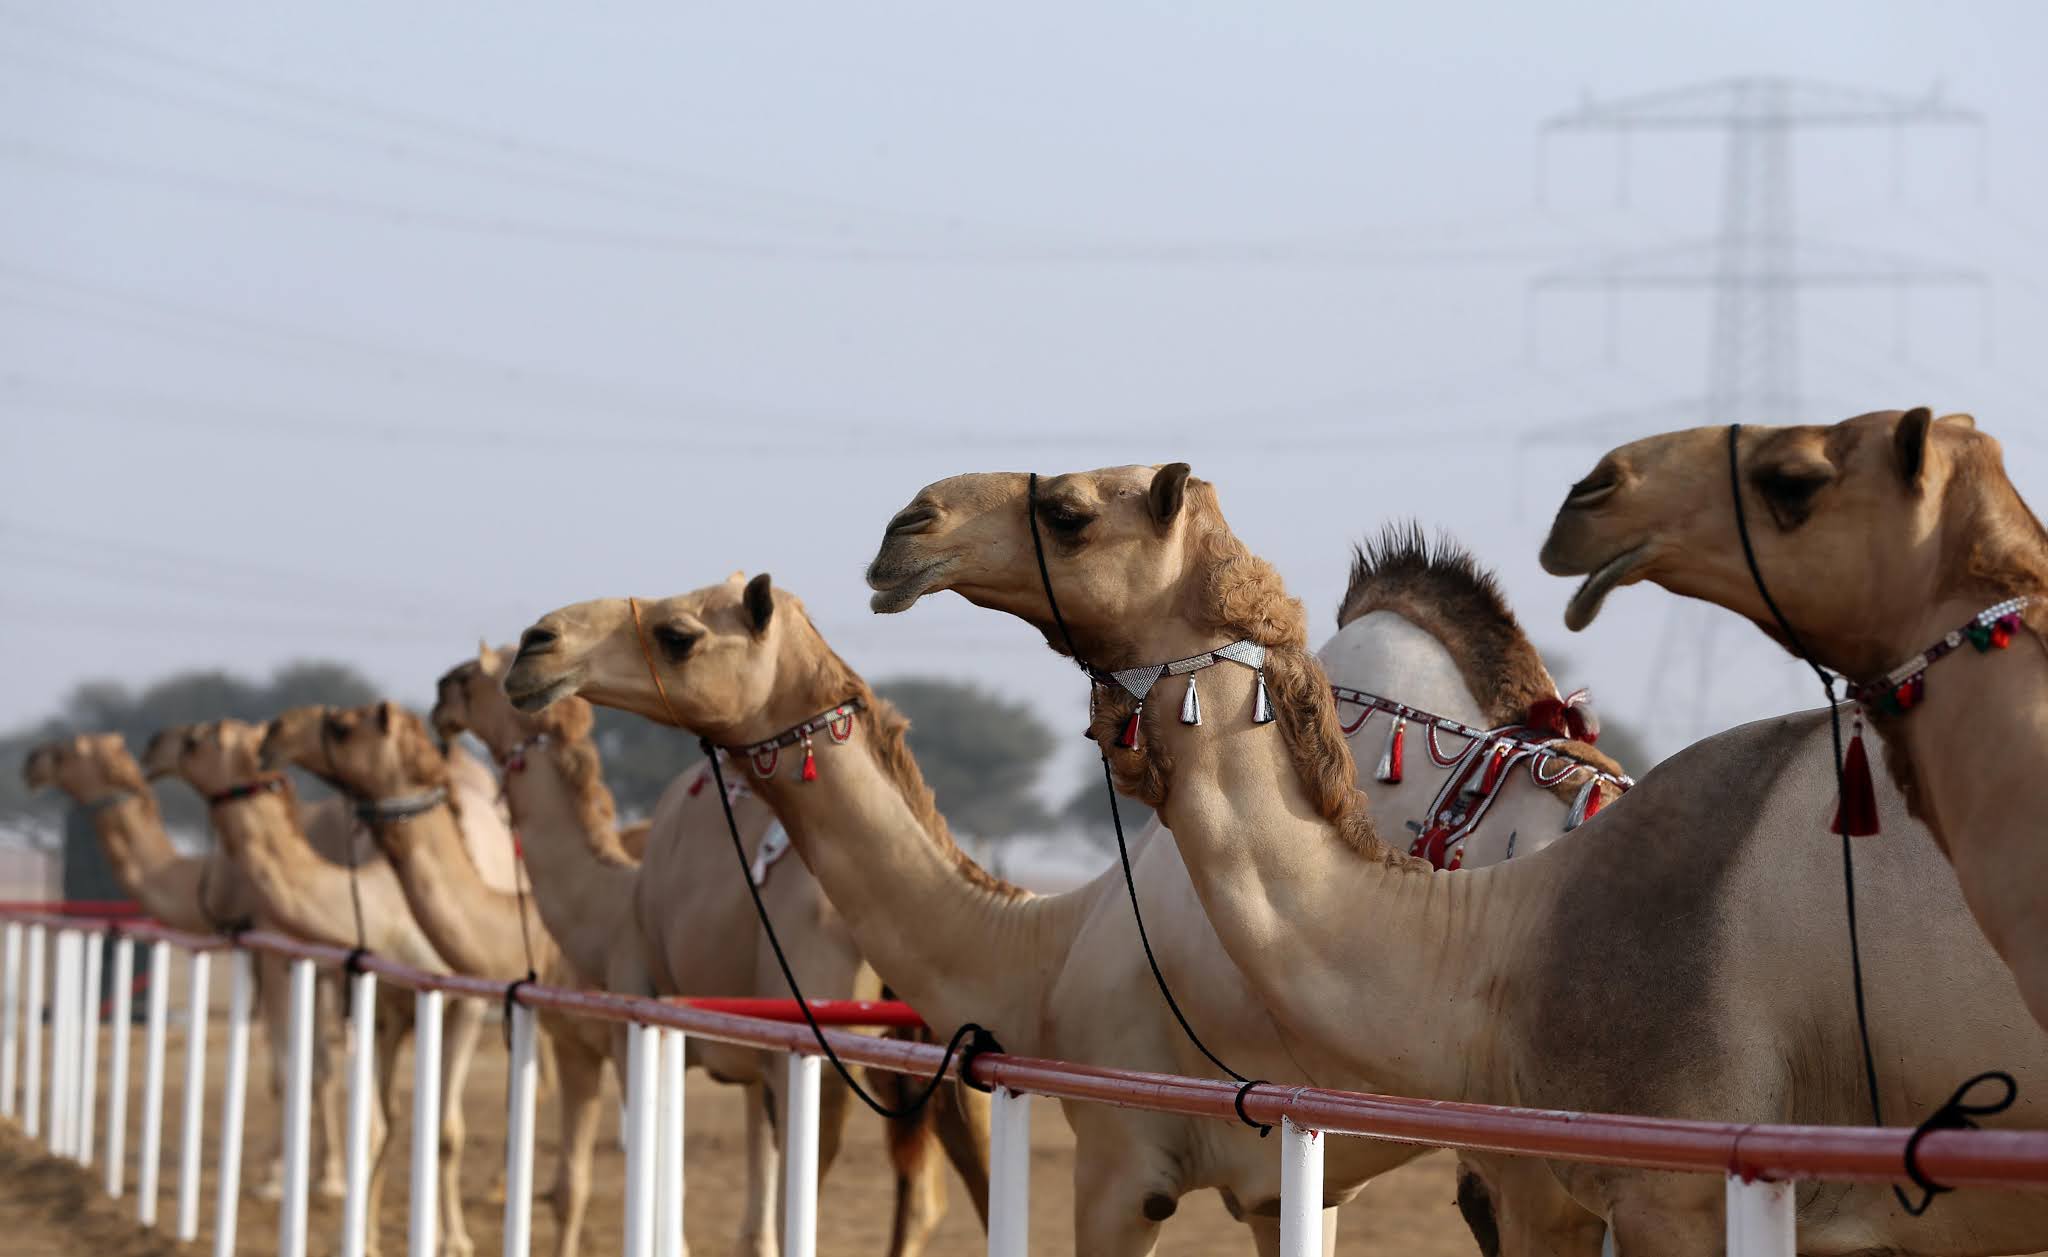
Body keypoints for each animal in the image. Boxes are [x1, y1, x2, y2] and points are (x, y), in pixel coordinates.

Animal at [157, 720, 489, 1257]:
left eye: (196, 740)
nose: (150, 748)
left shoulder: (465, 1004)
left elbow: (444, 1129)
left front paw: (454, 1239)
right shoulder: (371, 995)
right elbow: (371, 1119)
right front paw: (359, 1237)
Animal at [436, 651, 995, 1257]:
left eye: (476, 676)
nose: (439, 696)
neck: (615, 905)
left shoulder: (643, 1020)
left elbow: (667, 1195)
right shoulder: (754, 1058)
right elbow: (752, 1223)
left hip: (824, 1039)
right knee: (955, 1187)